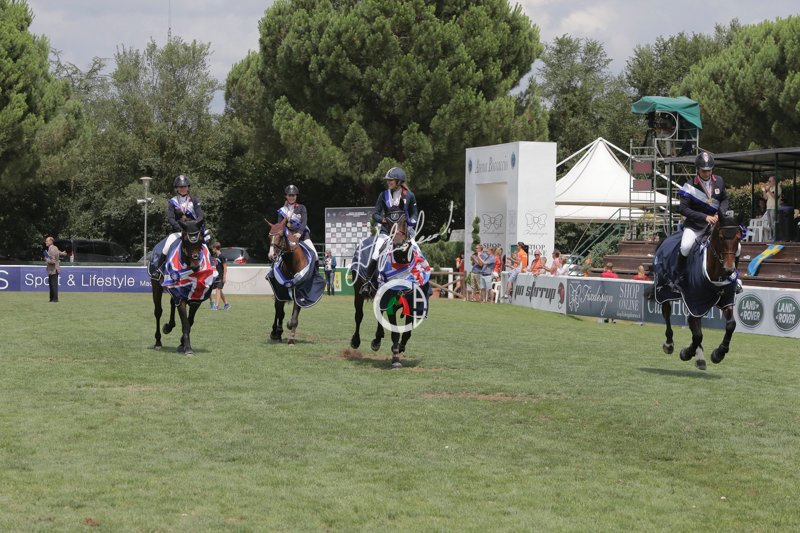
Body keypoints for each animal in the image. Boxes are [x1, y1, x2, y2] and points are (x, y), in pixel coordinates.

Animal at [149, 219, 216, 355]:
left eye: (201, 240)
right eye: (185, 240)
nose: (196, 265)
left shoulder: (195, 300)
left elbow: (189, 322)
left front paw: (182, 344)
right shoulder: (181, 298)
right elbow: (185, 323)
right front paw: (188, 348)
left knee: (171, 304)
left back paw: (169, 327)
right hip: (156, 286)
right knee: (158, 312)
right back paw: (158, 342)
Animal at [350, 213, 430, 368]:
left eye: (405, 223)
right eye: (389, 222)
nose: (398, 244)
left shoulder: (412, 305)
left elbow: (407, 332)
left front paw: (399, 348)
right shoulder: (390, 303)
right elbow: (395, 332)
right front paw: (396, 358)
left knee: (378, 314)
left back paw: (377, 339)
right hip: (358, 293)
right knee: (359, 315)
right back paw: (356, 341)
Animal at [652, 215, 743, 370]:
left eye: (738, 238)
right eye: (721, 237)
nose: (729, 269)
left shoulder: (725, 300)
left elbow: (730, 325)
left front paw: (719, 353)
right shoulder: (695, 302)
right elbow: (698, 334)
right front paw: (686, 353)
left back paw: (700, 357)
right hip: (665, 291)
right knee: (667, 313)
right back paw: (669, 344)